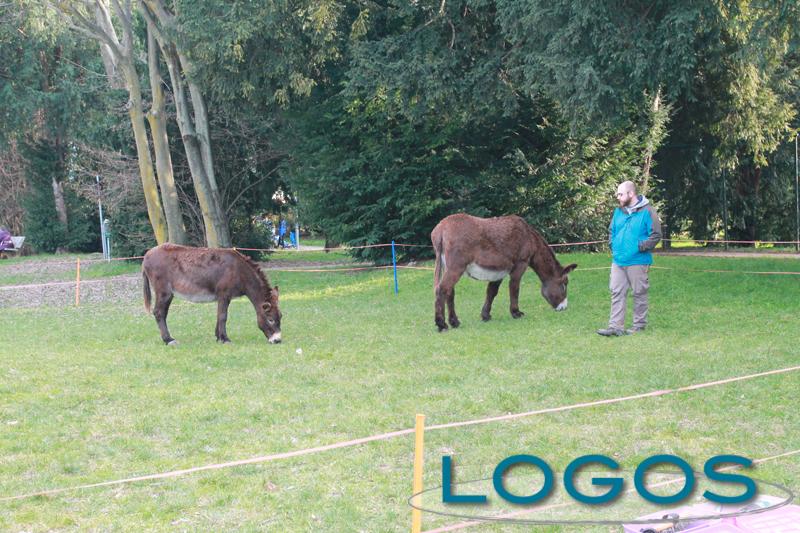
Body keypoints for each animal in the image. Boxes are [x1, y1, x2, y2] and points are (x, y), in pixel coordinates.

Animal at [142, 244, 282, 345]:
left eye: (281, 316)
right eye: (270, 319)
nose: (278, 340)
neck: (239, 271)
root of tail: (147, 255)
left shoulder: (222, 297)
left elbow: (219, 315)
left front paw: (218, 337)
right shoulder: (224, 295)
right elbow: (223, 316)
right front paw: (225, 339)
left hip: (169, 294)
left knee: (163, 313)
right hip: (163, 291)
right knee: (159, 312)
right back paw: (168, 340)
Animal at [431, 214, 577, 331]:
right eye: (564, 284)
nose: (564, 307)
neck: (529, 237)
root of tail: (441, 228)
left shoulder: (498, 271)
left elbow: (491, 292)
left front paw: (486, 315)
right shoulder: (520, 265)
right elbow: (514, 288)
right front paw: (516, 313)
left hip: (449, 267)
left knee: (449, 292)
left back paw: (454, 322)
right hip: (456, 267)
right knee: (441, 289)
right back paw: (441, 324)